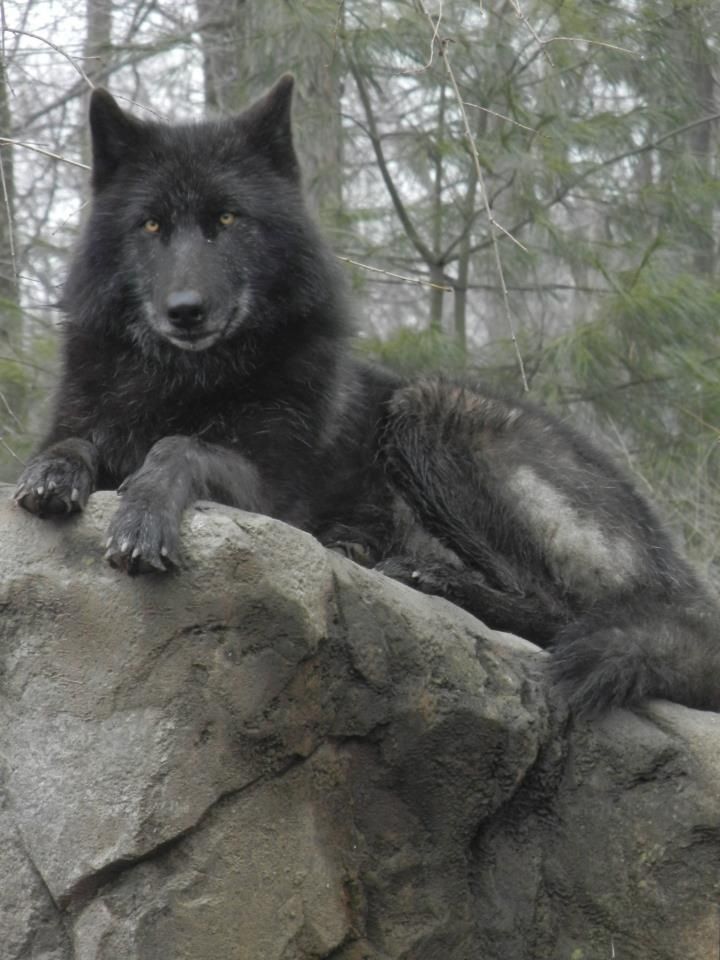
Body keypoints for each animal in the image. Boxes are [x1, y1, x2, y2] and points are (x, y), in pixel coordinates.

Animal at [12, 75, 720, 712]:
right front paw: (51, 474)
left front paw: (143, 515)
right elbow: (74, 443)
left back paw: (429, 577)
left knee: (561, 611)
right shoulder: (91, 418)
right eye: (153, 225)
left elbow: (179, 447)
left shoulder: (271, 492)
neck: (183, 380)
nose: (185, 310)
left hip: (426, 411)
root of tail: (683, 580)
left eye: (227, 219)